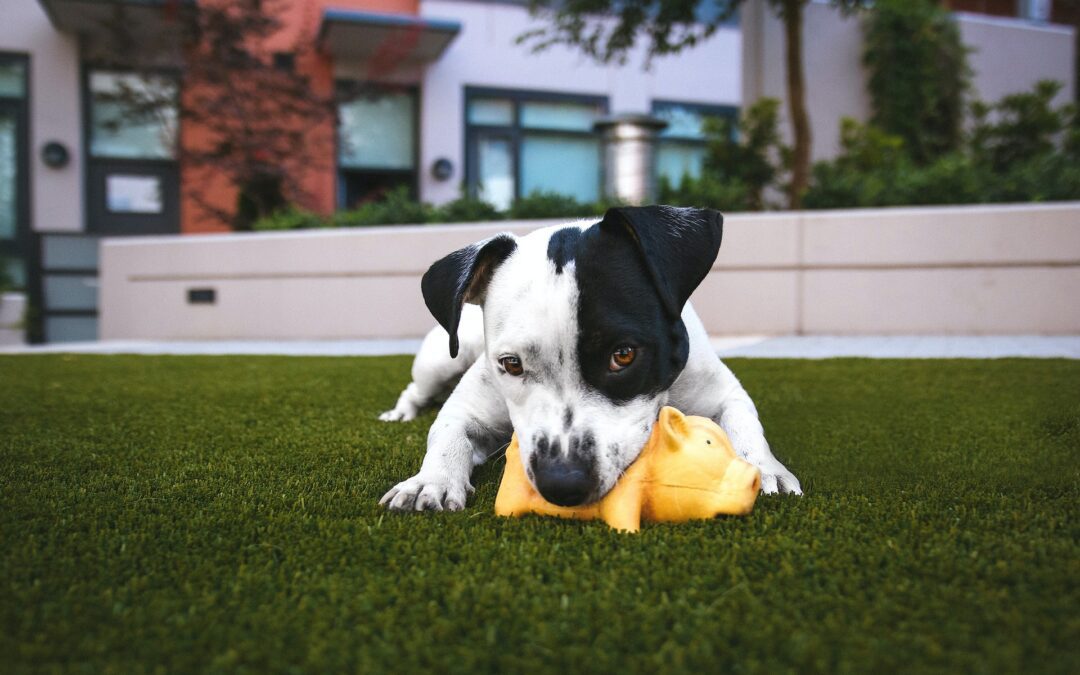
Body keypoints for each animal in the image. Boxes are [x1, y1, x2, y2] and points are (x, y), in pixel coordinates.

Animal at [380, 205, 803, 509]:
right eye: (511, 364)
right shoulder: (467, 409)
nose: (562, 483)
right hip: (441, 360)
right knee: (415, 390)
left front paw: (763, 468)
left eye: (624, 355)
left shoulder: (724, 393)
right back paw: (400, 413)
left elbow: (744, 425)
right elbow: (447, 434)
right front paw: (430, 481)